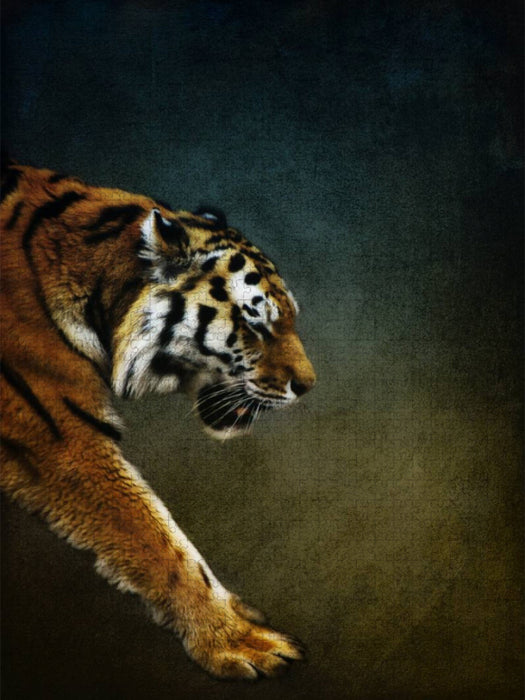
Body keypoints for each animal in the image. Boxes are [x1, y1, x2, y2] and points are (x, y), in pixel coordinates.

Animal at [0, 158, 316, 680]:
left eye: (290, 317)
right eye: (255, 323)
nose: (309, 385)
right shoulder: (66, 439)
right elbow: (163, 541)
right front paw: (235, 641)